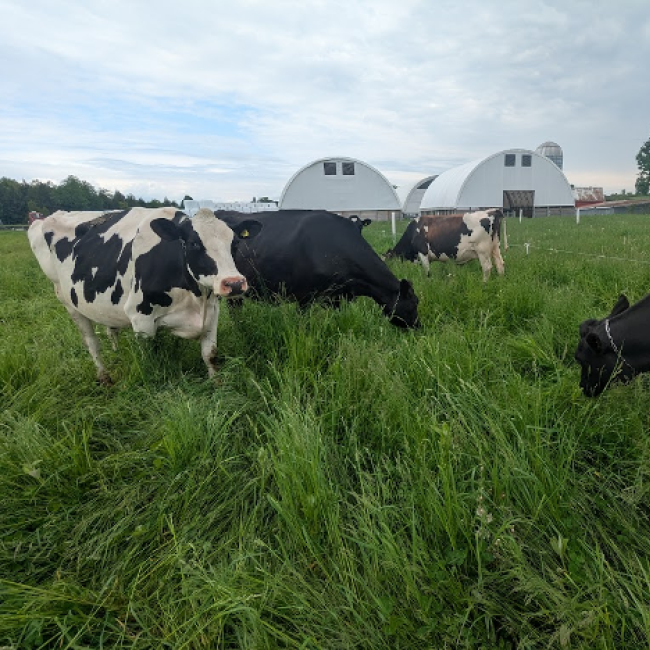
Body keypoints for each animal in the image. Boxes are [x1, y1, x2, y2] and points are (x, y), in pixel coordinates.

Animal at [28, 207, 261, 384]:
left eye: (235, 243)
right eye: (194, 243)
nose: (234, 283)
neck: (195, 297)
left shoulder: (212, 314)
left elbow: (210, 355)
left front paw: (218, 384)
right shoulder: (141, 319)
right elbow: (151, 360)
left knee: (110, 330)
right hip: (68, 302)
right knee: (91, 343)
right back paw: (104, 378)